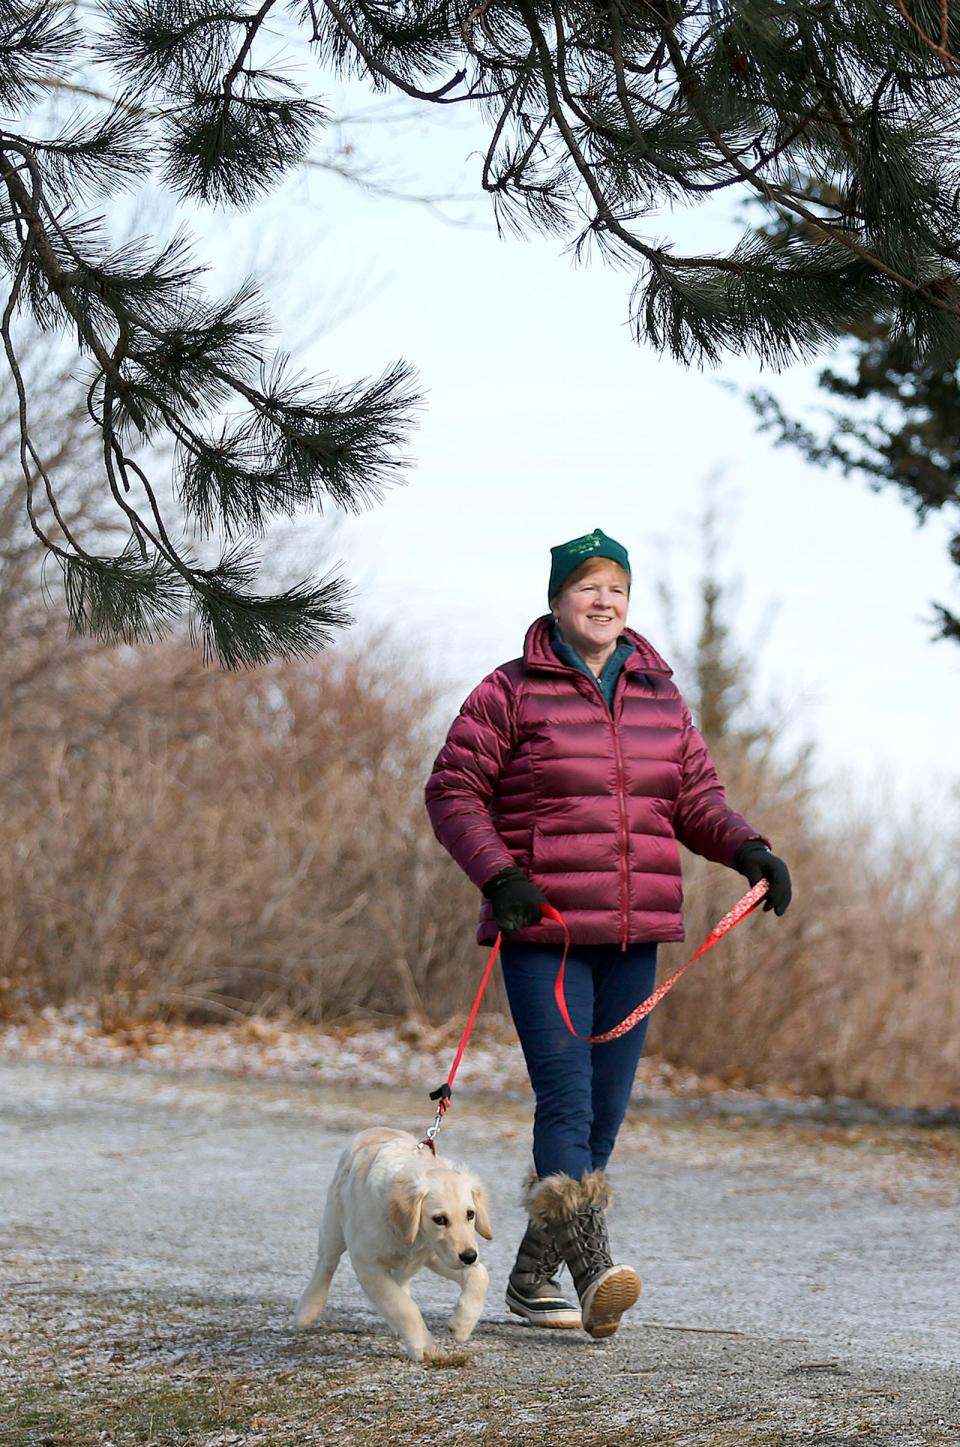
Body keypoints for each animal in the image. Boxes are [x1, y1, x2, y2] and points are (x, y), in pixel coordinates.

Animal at [295, 1122, 492, 1360]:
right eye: (439, 1219)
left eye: (470, 1214)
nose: (469, 1256)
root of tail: (375, 1128)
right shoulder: (367, 1264)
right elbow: (404, 1308)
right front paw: (425, 1347)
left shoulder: (435, 1252)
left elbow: (480, 1275)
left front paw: (461, 1325)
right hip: (333, 1227)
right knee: (325, 1266)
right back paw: (307, 1310)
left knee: (402, 1280)